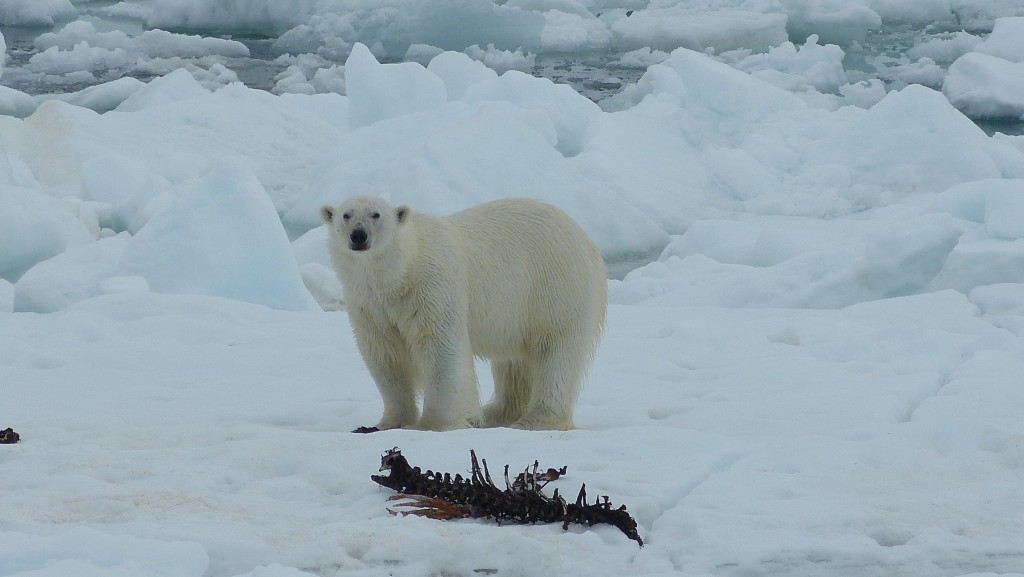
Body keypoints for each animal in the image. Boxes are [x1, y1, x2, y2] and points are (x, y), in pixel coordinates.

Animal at [321, 196, 606, 430]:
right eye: (346, 215)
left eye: (376, 214)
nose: (359, 235)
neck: (399, 275)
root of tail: (588, 242)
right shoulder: (370, 305)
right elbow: (384, 354)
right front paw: (390, 422)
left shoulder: (431, 287)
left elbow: (439, 346)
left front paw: (435, 424)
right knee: (514, 361)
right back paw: (496, 413)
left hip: (554, 286)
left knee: (556, 349)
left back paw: (536, 419)